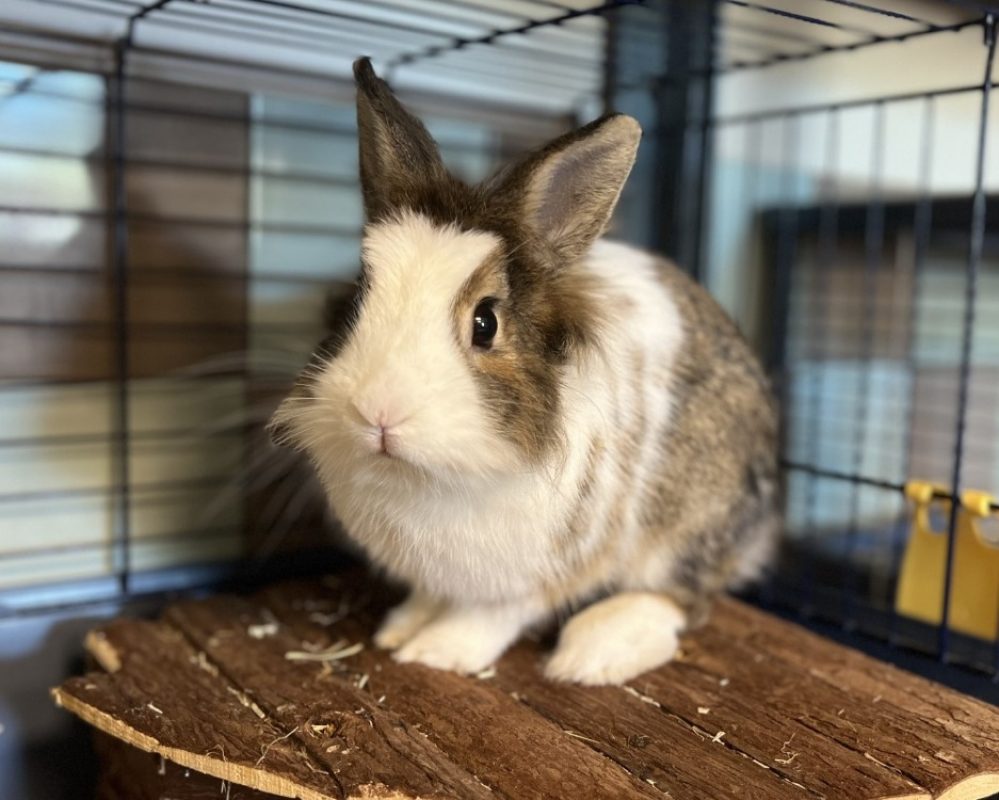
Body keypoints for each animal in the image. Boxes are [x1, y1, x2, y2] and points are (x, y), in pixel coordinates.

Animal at [268, 57, 780, 686]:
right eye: (355, 301)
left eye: (485, 322)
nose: (378, 413)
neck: (429, 477)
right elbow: (429, 597)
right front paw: (401, 628)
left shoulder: (539, 573)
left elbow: (493, 616)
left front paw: (437, 651)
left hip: (686, 526)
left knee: (682, 599)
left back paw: (594, 651)